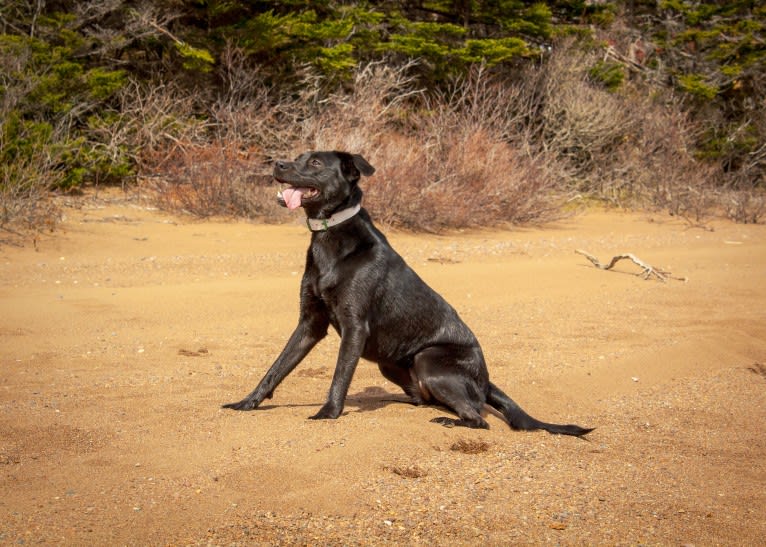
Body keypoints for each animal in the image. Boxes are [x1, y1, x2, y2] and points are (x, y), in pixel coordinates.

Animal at [222, 151, 592, 436]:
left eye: (314, 162)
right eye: (297, 156)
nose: (277, 163)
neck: (329, 236)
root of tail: (487, 381)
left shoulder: (354, 327)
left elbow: (340, 375)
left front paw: (328, 412)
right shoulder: (309, 324)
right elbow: (276, 368)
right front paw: (247, 403)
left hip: (429, 359)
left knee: (477, 418)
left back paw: (450, 420)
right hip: (391, 365)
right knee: (426, 399)